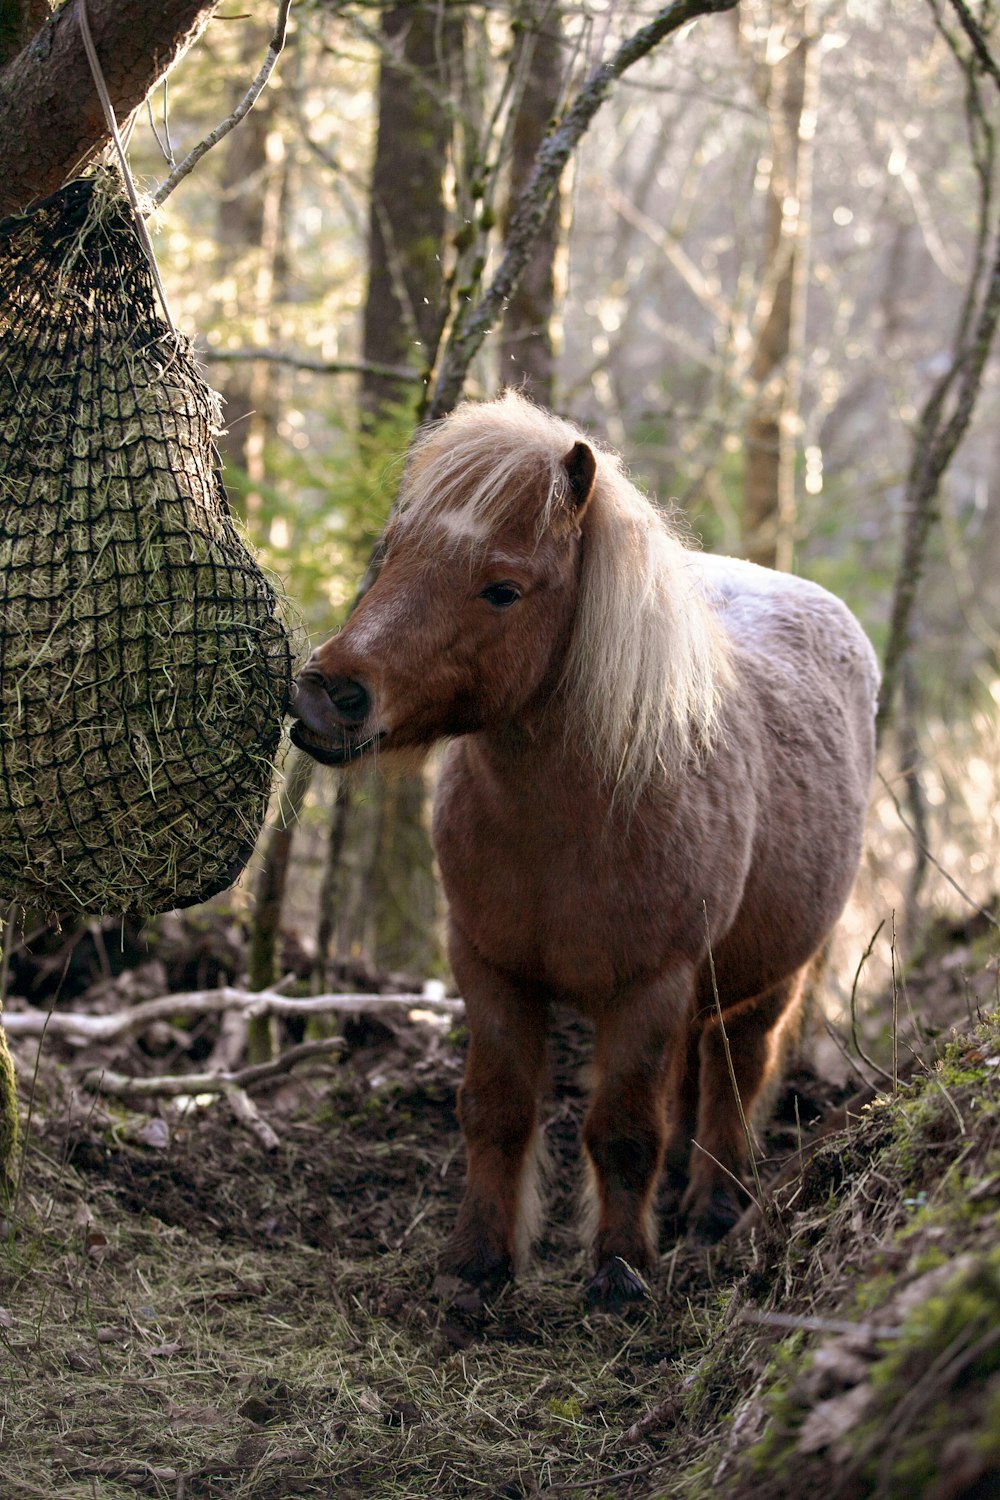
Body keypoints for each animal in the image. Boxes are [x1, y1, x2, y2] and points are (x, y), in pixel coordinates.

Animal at [289, 393, 875, 1308]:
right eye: (389, 554)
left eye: (502, 590)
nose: (328, 694)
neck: (573, 827)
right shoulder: (489, 970)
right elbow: (496, 1110)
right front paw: (477, 1263)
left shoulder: (649, 988)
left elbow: (625, 1129)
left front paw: (620, 1273)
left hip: (766, 982)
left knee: (736, 1071)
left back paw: (711, 1210)